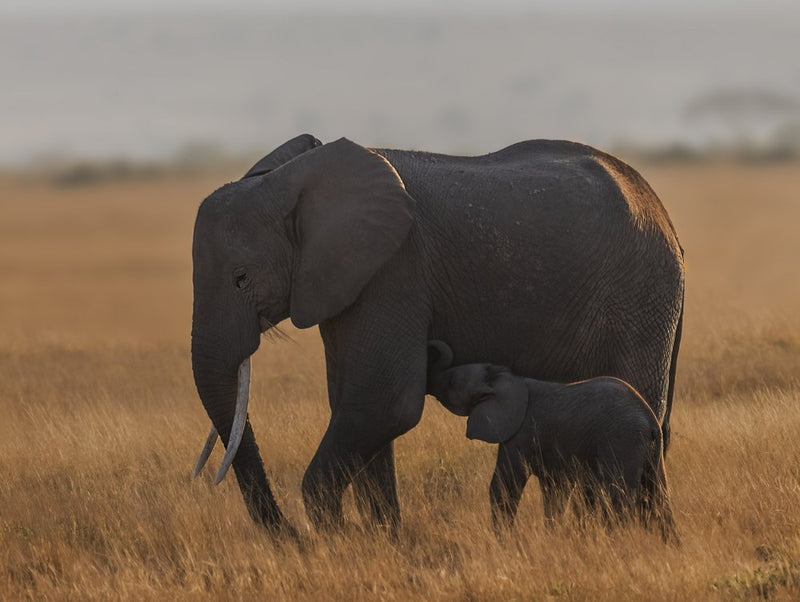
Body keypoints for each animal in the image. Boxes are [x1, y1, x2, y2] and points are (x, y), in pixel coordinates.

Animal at [426, 341, 678, 542]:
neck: (506, 379)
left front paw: (503, 541)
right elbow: (554, 492)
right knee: (658, 495)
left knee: (617, 497)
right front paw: (552, 536)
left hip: (621, 441)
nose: (433, 346)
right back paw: (669, 545)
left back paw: (617, 542)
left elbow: (504, 486)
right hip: (649, 452)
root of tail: (650, 420)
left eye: (450, 382)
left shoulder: (520, 434)